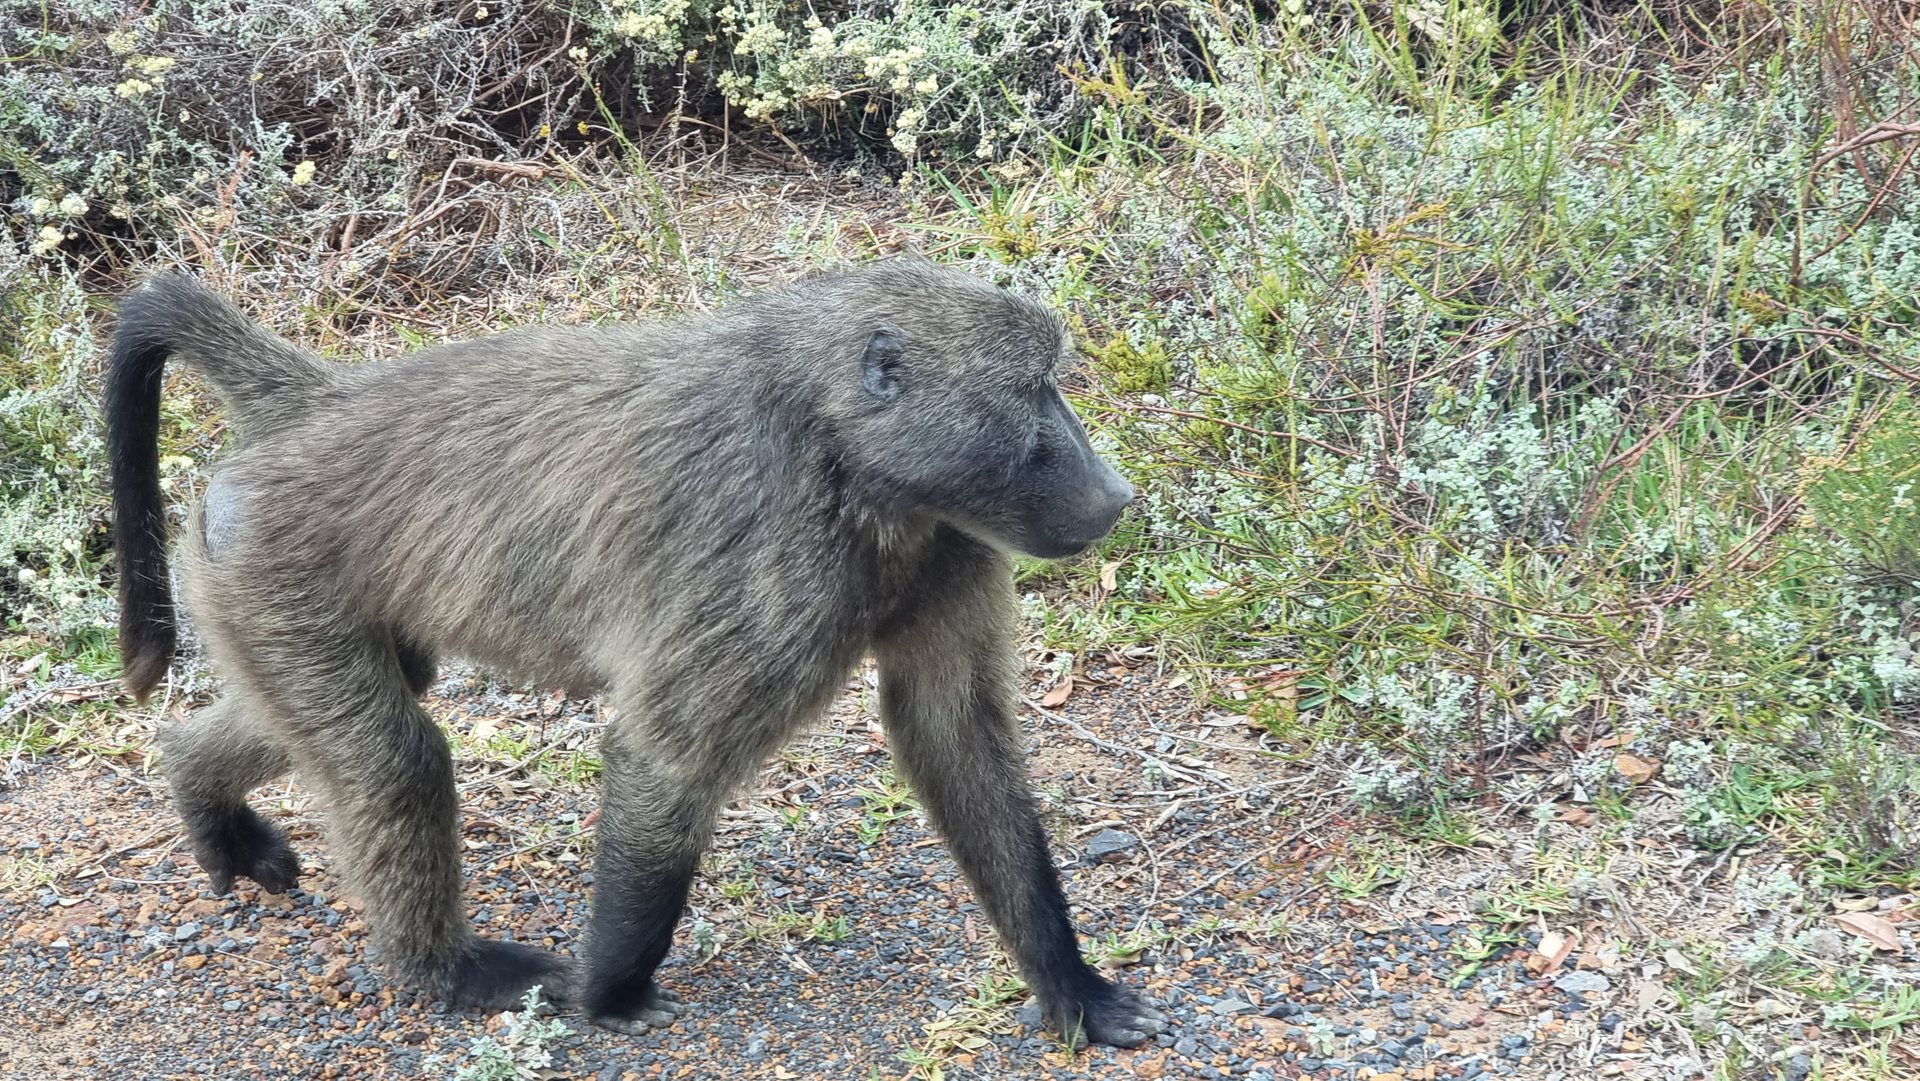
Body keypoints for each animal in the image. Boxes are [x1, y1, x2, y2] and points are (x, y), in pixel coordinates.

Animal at [105, 257, 1166, 1047]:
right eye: (1037, 391)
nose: (1114, 494)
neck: (845, 454)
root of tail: (318, 403)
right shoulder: (776, 571)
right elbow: (668, 758)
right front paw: (611, 989)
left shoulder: (951, 544)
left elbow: (956, 738)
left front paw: (1073, 989)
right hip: (271, 566)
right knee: (393, 761)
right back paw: (445, 974)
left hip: (255, 584)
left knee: (363, 707)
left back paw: (202, 797)